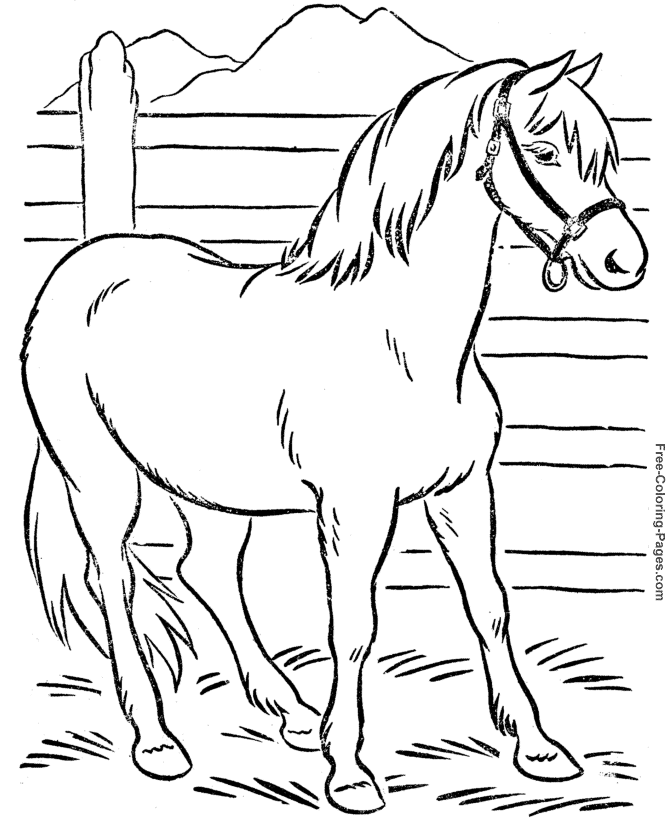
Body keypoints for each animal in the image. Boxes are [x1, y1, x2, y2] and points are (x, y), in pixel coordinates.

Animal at [22, 52, 647, 814]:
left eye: (607, 155)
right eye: (548, 150)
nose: (625, 261)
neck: (404, 345)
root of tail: (82, 265)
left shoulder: (464, 492)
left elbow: (491, 606)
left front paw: (538, 748)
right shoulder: (355, 508)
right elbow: (353, 629)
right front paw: (348, 772)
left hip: (215, 487)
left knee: (202, 571)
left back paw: (286, 710)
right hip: (101, 478)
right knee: (114, 578)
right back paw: (159, 742)